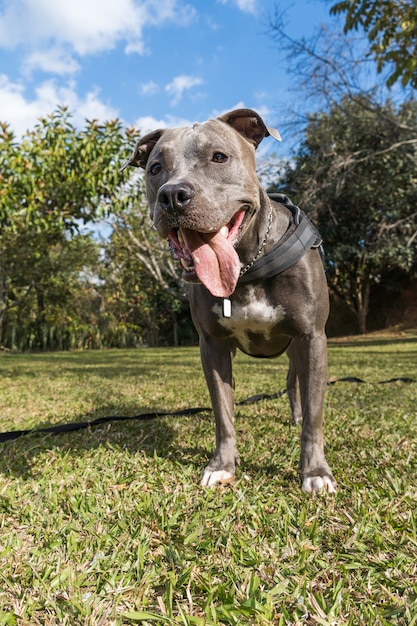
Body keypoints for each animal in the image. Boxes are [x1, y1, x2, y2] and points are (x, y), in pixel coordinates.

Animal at [122, 108, 336, 492]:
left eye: (219, 157)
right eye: (155, 167)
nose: (173, 195)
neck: (249, 266)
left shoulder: (312, 338)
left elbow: (315, 415)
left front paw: (314, 471)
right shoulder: (213, 346)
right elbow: (223, 413)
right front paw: (223, 465)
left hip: (299, 348)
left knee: (295, 385)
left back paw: (296, 417)